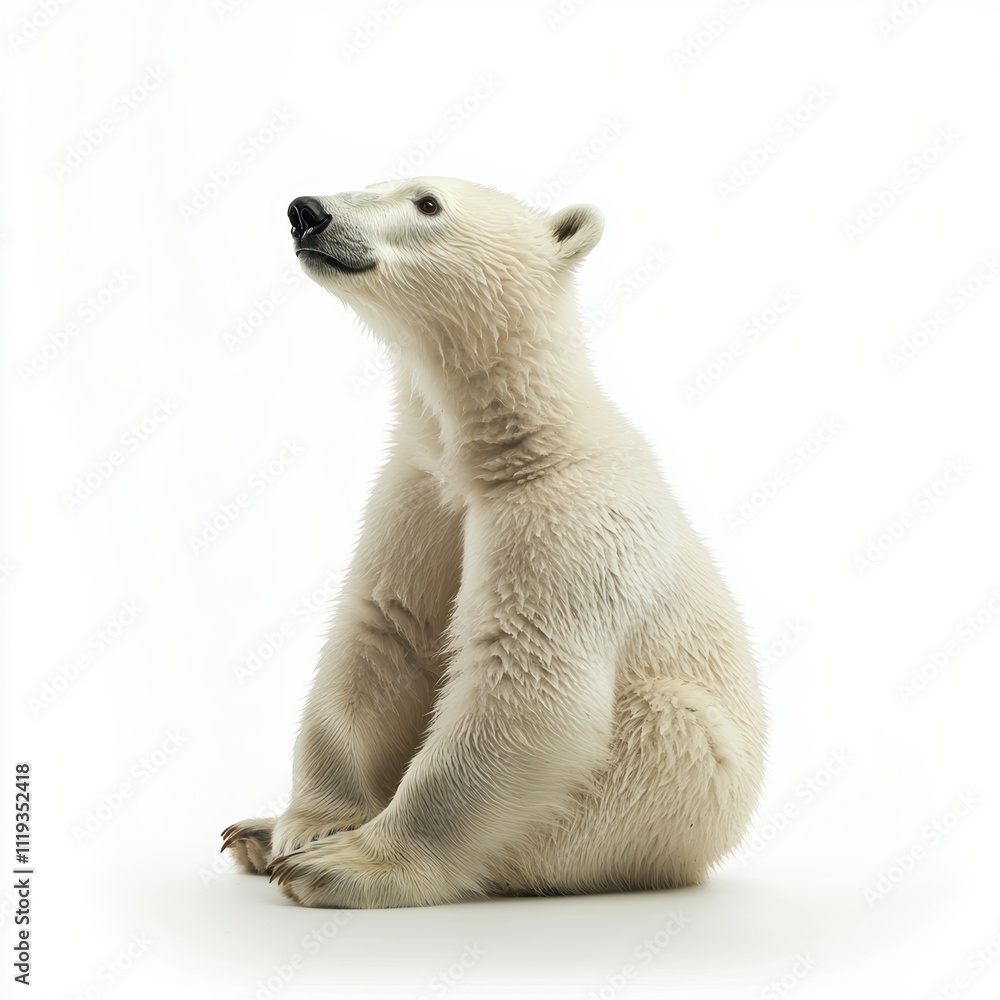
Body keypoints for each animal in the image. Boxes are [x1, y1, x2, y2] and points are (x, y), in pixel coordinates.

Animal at [222, 176, 767, 908]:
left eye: (427, 202)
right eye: (374, 180)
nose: (307, 212)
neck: (507, 444)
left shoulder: (564, 519)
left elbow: (528, 681)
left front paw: (343, 863)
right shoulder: (419, 490)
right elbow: (381, 632)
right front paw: (308, 825)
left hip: (680, 777)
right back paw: (252, 830)